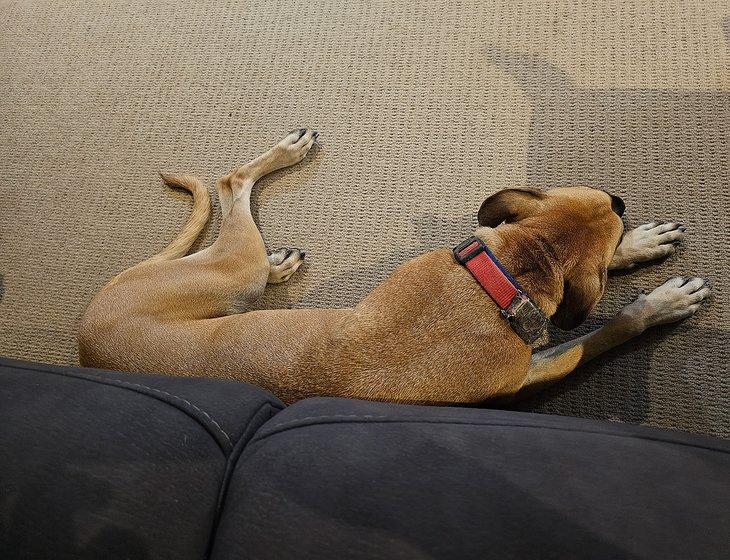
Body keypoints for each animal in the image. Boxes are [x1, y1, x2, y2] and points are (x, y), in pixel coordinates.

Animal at [77, 129, 708, 404]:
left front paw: (641, 244)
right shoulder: (535, 370)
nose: (621, 202)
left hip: (233, 283)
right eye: (611, 206)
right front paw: (658, 297)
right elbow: (605, 331)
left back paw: (281, 263)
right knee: (232, 182)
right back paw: (287, 152)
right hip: (236, 266)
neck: (506, 277)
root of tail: (88, 333)